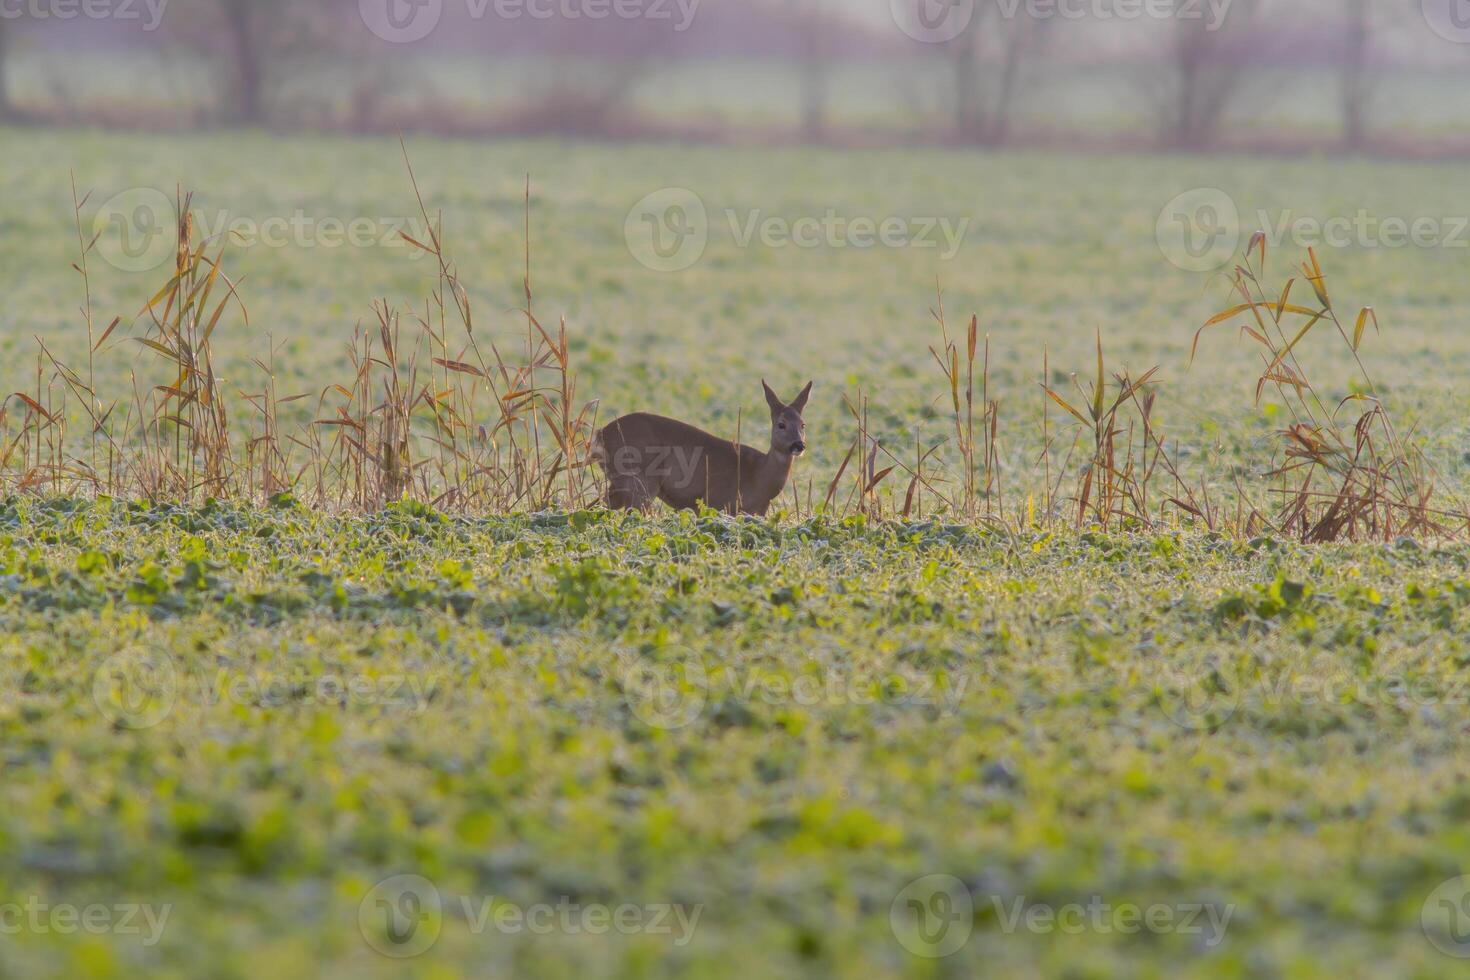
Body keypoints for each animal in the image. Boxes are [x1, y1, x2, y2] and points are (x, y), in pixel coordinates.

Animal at [588, 382, 817, 520]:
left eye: (803, 424)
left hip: (620, 483)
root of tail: (601, 434)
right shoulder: (717, 503)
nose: (798, 445)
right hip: (640, 481)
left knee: (594, 506)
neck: (759, 476)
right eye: (781, 424)